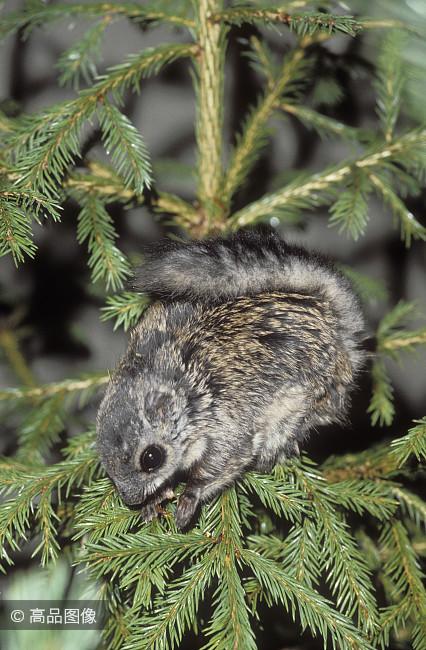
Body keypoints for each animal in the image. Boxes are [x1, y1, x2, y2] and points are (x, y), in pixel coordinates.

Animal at [96, 225, 366, 528]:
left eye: (151, 458)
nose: (130, 500)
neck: (190, 388)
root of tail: (340, 336)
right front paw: (156, 500)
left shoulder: (229, 428)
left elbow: (221, 465)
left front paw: (188, 499)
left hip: (301, 403)